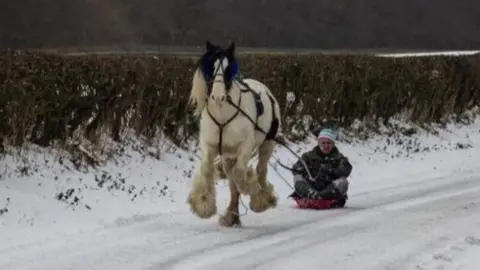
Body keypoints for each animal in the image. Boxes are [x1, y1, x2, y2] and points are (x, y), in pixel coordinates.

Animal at [186, 41, 284, 227]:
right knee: (233, 181)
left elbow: (240, 174)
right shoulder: (209, 146)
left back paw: (262, 197)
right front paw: (204, 205)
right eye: (211, 66)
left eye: (228, 68)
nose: (217, 97)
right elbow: (208, 170)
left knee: (260, 170)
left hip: (267, 144)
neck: (222, 114)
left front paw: (253, 188)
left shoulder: (246, 145)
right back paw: (232, 215)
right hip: (228, 154)